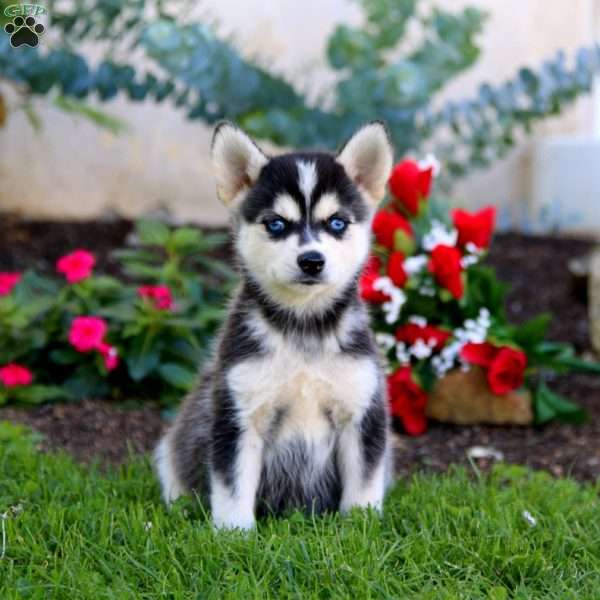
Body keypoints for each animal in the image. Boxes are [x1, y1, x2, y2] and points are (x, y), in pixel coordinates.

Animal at [156, 119, 394, 528]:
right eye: (277, 224)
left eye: (337, 223)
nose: (311, 261)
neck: (303, 326)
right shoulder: (237, 413)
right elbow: (233, 488)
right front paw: (233, 535)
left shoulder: (362, 411)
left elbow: (363, 486)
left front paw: (360, 528)